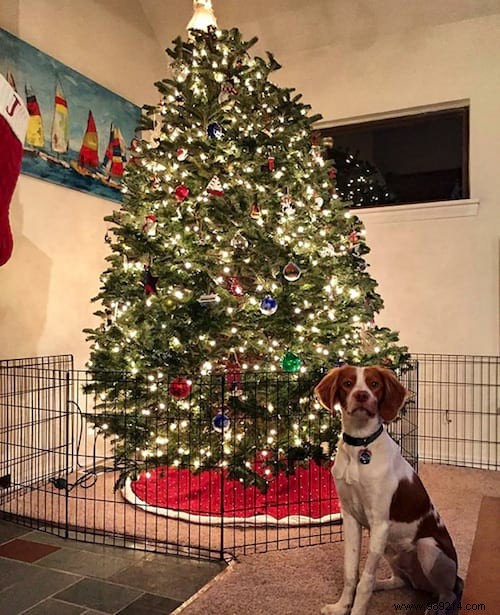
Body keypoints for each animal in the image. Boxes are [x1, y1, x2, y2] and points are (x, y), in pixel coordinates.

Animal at [314, 366, 462, 615]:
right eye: (347, 383)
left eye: (374, 384)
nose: (361, 395)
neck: (361, 445)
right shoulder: (350, 517)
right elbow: (351, 572)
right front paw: (341, 607)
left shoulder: (379, 523)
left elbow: (365, 580)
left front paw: (356, 611)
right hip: (389, 549)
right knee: (402, 581)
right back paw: (383, 584)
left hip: (427, 547)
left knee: (448, 593)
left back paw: (435, 607)